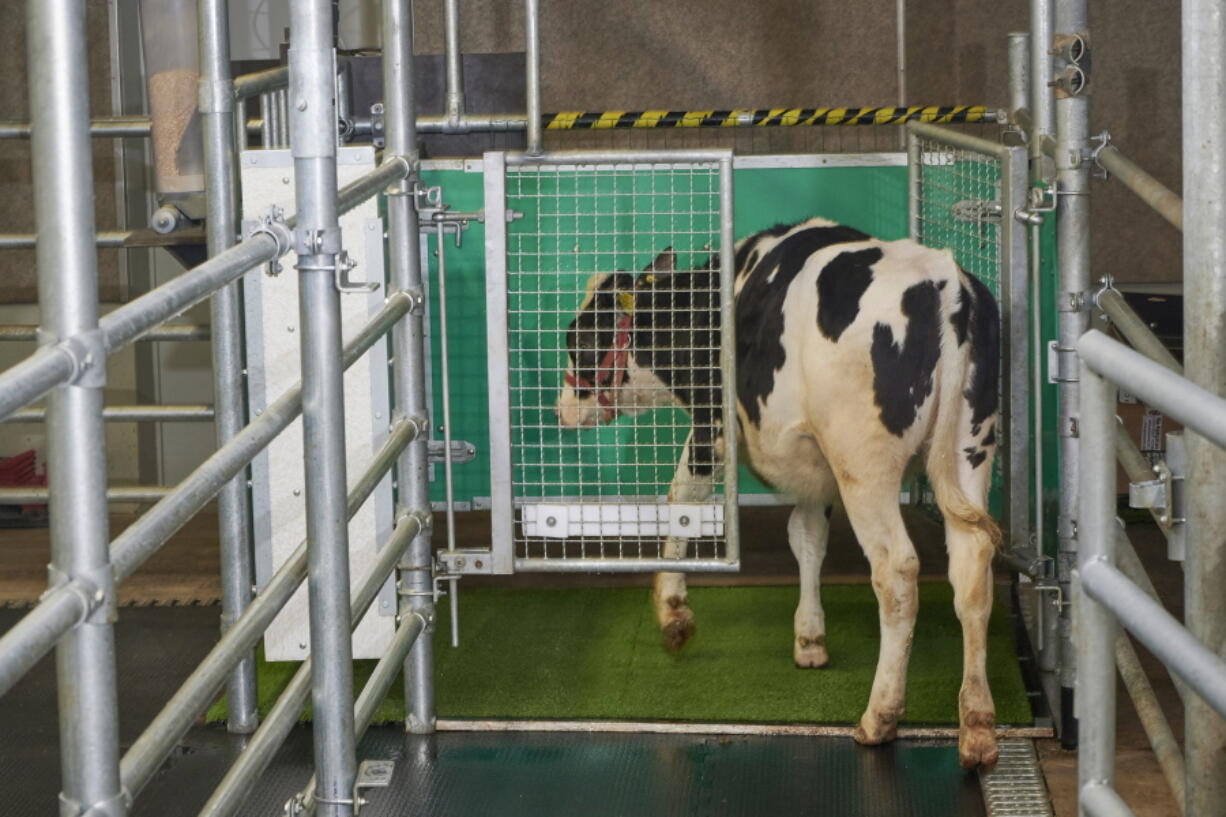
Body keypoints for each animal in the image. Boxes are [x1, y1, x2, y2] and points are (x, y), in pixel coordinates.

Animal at [556, 215, 1005, 765]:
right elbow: (806, 536)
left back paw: (880, 715)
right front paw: (810, 638)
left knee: (896, 573)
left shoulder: (712, 425)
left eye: (580, 339)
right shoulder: (814, 466)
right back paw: (977, 724)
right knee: (973, 566)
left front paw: (672, 611)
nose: (561, 408)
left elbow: (682, 499)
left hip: (864, 463)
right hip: (971, 447)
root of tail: (945, 284)